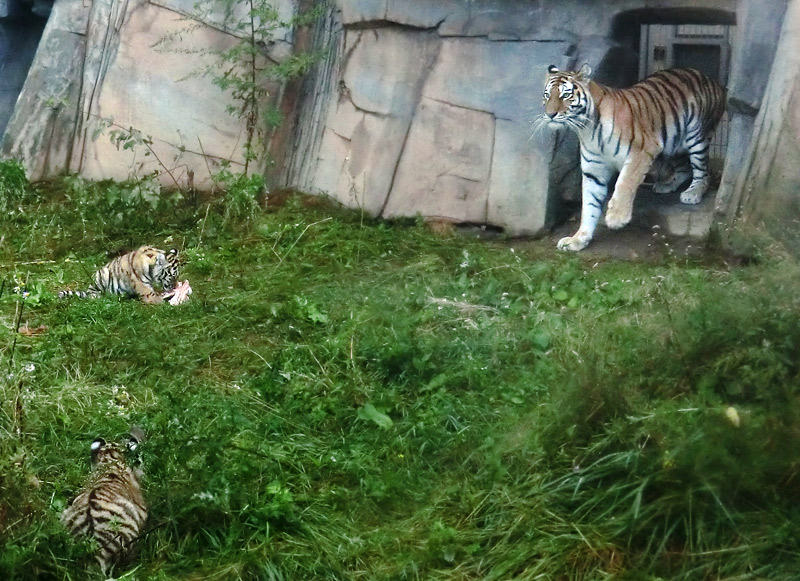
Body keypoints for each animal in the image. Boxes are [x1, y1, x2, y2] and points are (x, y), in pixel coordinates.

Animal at [544, 64, 724, 250]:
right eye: (547, 95)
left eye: (566, 95)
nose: (550, 114)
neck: (586, 130)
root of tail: (712, 80)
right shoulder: (593, 171)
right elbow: (589, 206)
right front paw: (578, 239)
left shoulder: (642, 151)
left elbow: (625, 182)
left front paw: (616, 218)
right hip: (675, 142)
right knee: (685, 169)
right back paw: (666, 185)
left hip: (696, 138)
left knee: (703, 172)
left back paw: (693, 193)